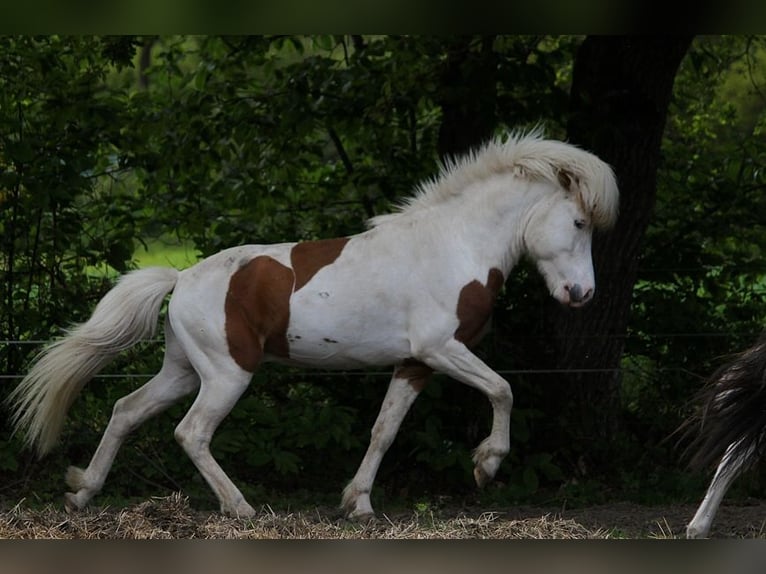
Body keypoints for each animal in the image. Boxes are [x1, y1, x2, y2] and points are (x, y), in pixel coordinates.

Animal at [7, 130, 616, 520]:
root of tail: (180, 279)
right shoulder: (441, 349)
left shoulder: (414, 362)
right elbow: (504, 388)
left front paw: (358, 504)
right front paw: (486, 466)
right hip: (227, 375)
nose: (582, 295)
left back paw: (81, 493)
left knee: (125, 411)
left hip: (183, 370)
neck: (454, 245)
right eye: (578, 222)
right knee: (191, 432)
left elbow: (384, 430)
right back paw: (241, 508)